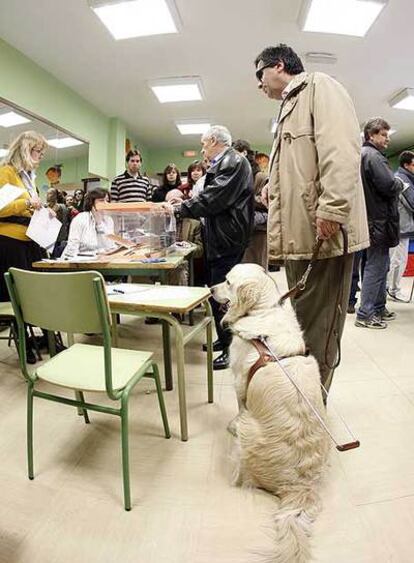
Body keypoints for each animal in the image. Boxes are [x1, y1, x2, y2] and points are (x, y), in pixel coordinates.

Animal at [212, 266, 328, 563]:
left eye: (227, 281)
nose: (210, 289)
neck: (261, 311)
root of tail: (299, 485)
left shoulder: (239, 380)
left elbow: (240, 404)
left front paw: (230, 423)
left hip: (248, 434)